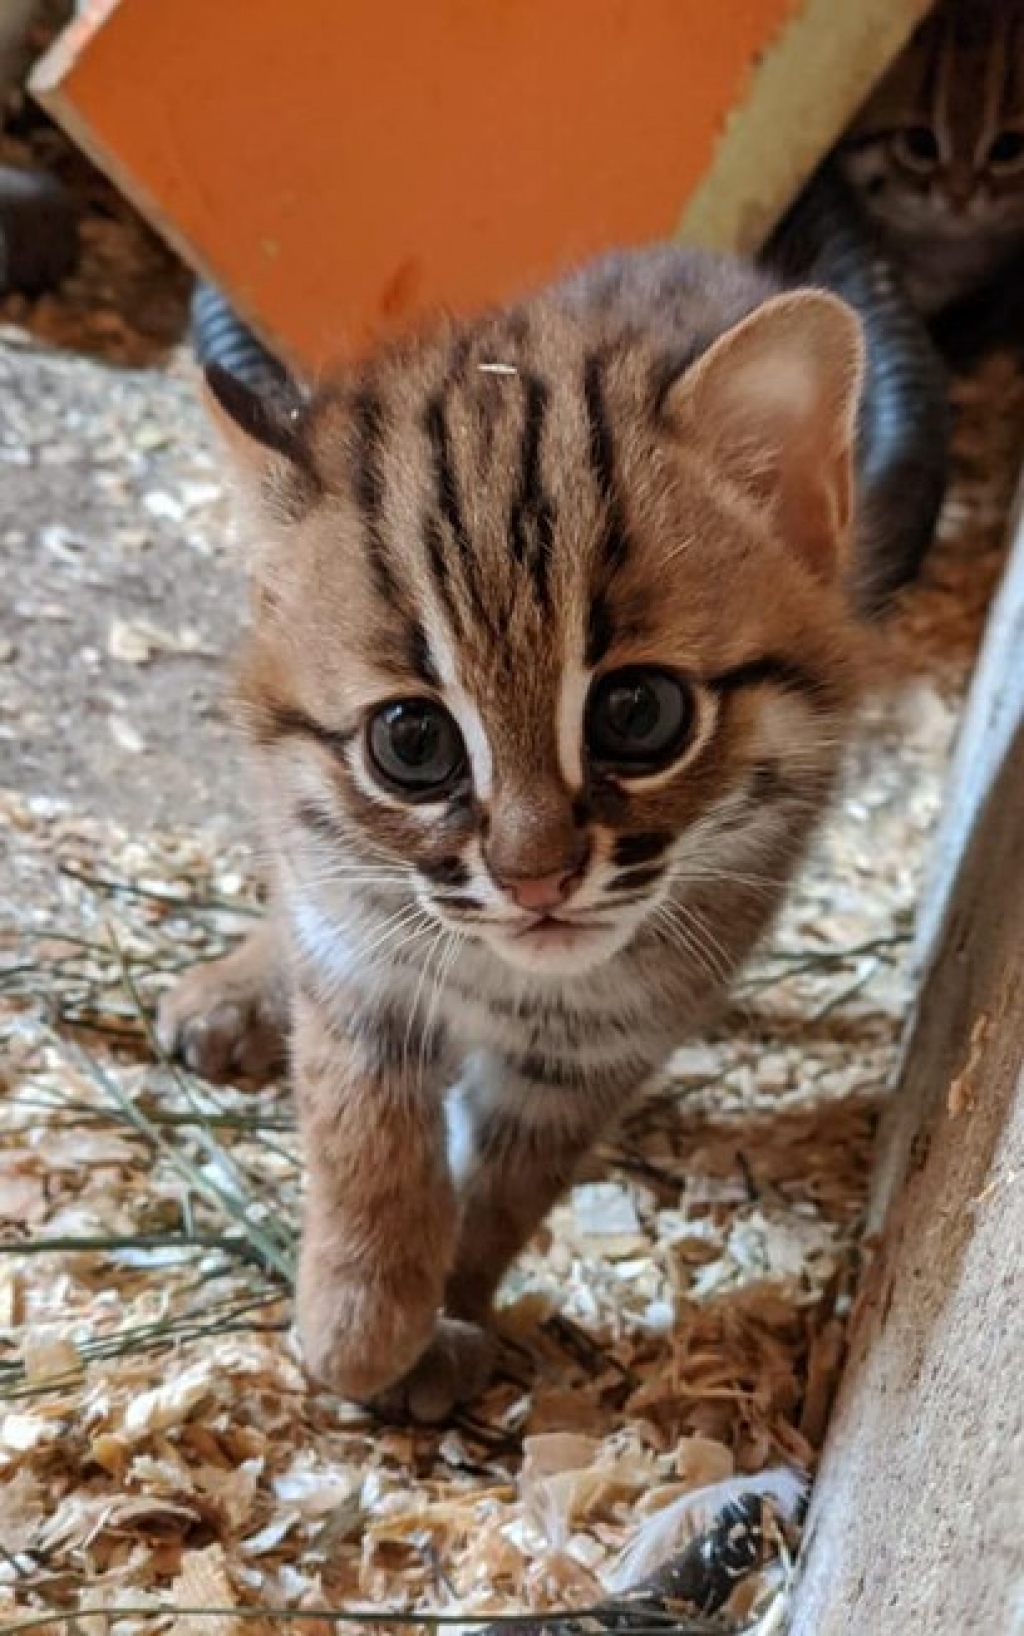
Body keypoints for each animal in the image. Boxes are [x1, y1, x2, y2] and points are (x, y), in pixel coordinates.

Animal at [159, 248, 863, 1426]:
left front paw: (451, 1312)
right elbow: (362, 1145)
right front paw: (358, 1329)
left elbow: (506, 1192)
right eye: (412, 741)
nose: (536, 880)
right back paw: (230, 990)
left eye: (639, 713)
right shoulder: (363, 964)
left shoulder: (594, 1050)